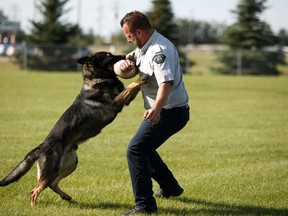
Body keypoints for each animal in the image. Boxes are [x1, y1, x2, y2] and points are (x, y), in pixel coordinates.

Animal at [0, 51, 147, 207]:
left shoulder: (125, 100)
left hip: (70, 164)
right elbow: (131, 86)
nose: (127, 56)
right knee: (35, 191)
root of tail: (42, 146)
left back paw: (66, 196)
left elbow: (132, 88)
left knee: (52, 183)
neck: (97, 80)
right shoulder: (116, 103)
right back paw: (34, 207)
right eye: (108, 55)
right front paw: (141, 78)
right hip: (51, 170)